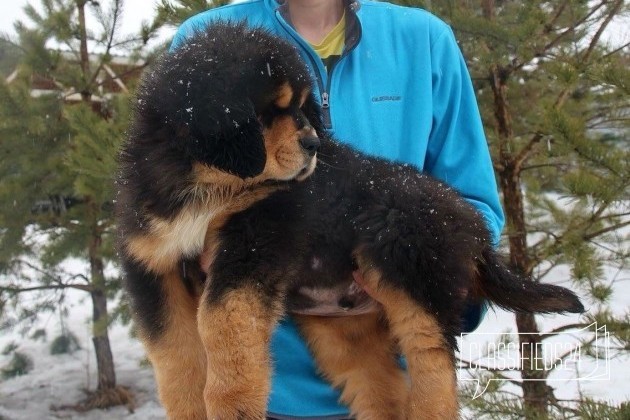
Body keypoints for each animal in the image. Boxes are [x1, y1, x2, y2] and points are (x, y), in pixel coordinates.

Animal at [117, 22, 584, 420]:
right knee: (384, 388)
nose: (313, 144)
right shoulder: (152, 263)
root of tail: (472, 227)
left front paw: (232, 405)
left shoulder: (258, 235)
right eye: (271, 111)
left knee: (433, 366)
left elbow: (223, 323)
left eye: (301, 108)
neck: (204, 181)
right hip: (344, 326)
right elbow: (174, 351)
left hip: (408, 265)